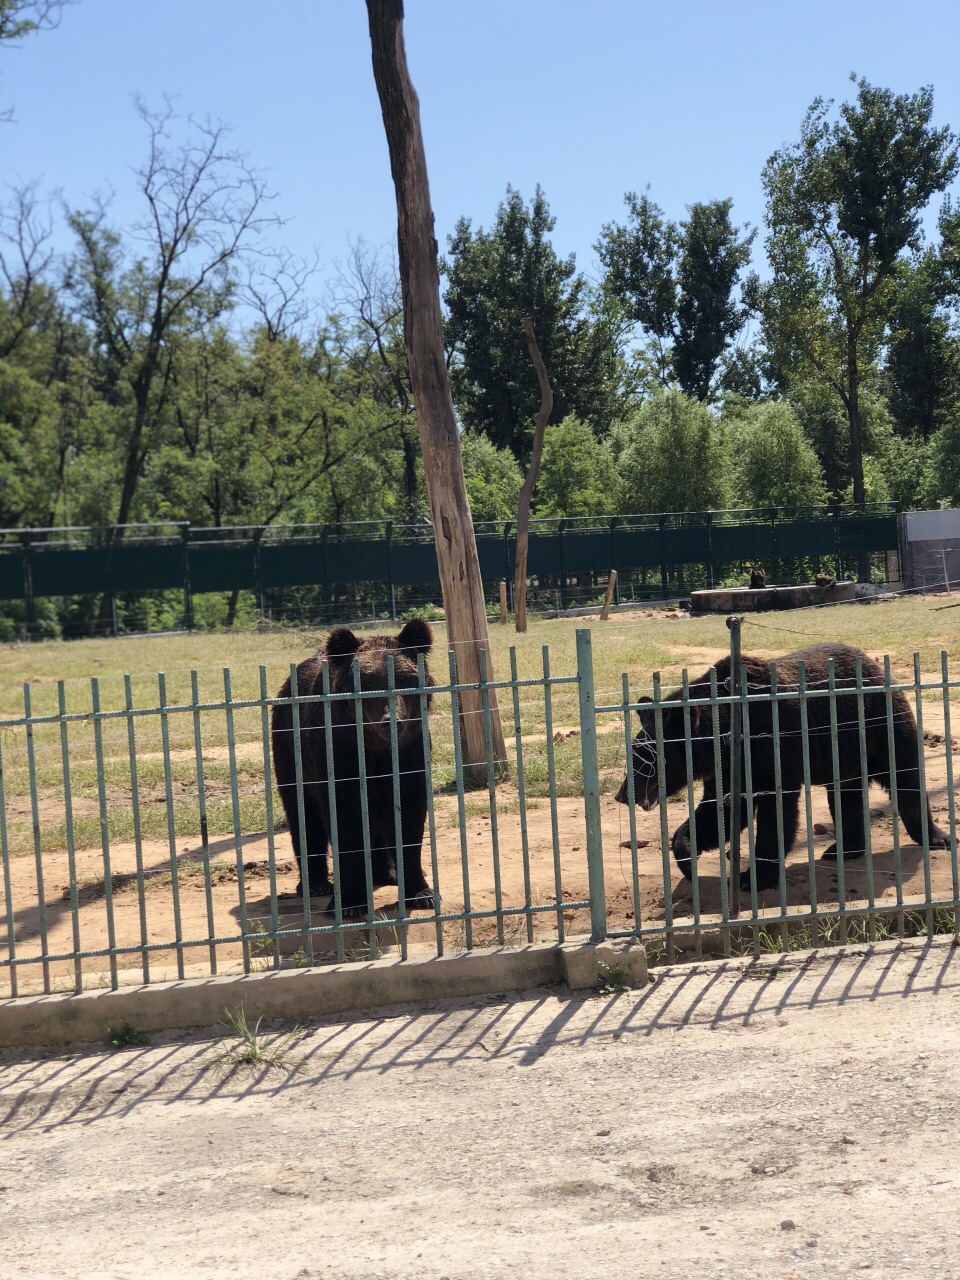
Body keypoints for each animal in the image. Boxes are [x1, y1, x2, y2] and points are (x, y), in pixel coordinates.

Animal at [271, 614, 435, 916]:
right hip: (288, 752)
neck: (376, 747)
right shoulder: (339, 754)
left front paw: (421, 893)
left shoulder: (411, 752)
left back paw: (386, 873)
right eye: (369, 683)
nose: (391, 721)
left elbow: (408, 817)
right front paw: (349, 902)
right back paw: (316, 884)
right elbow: (344, 820)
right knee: (302, 814)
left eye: (405, 679)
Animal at [619, 640, 952, 890]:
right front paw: (688, 858)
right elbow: (719, 812)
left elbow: (775, 812)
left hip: (879, 726)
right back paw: (843, 848)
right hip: (846, 755)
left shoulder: (773, 748)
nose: (622, 794)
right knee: (846, 796)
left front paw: (752, 877)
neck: (729, 734)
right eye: (634, 753)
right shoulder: (727, 769)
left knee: (906, 779)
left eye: (646, 758)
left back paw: (937, 837)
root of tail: (875, 665)